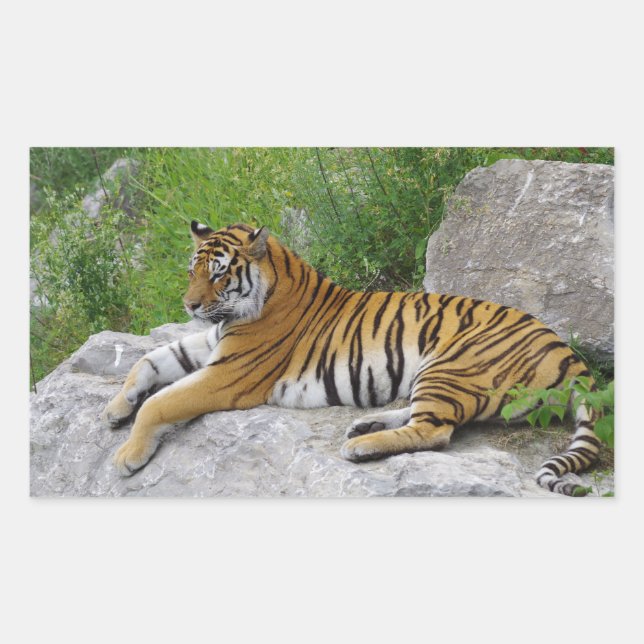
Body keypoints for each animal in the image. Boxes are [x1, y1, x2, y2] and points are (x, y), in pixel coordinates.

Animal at [102, 220, 602, 496]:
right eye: (193, 271)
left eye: (219, 274)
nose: (189, 306)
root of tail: (570, 355)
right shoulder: (211, 343)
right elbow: (147, 361)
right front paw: (114, 409)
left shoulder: (228, 374)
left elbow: (161, 402)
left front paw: (127, 456)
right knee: (429, 418)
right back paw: (365, 425)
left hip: (452, 364)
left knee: (436, 431)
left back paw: (361, 446)